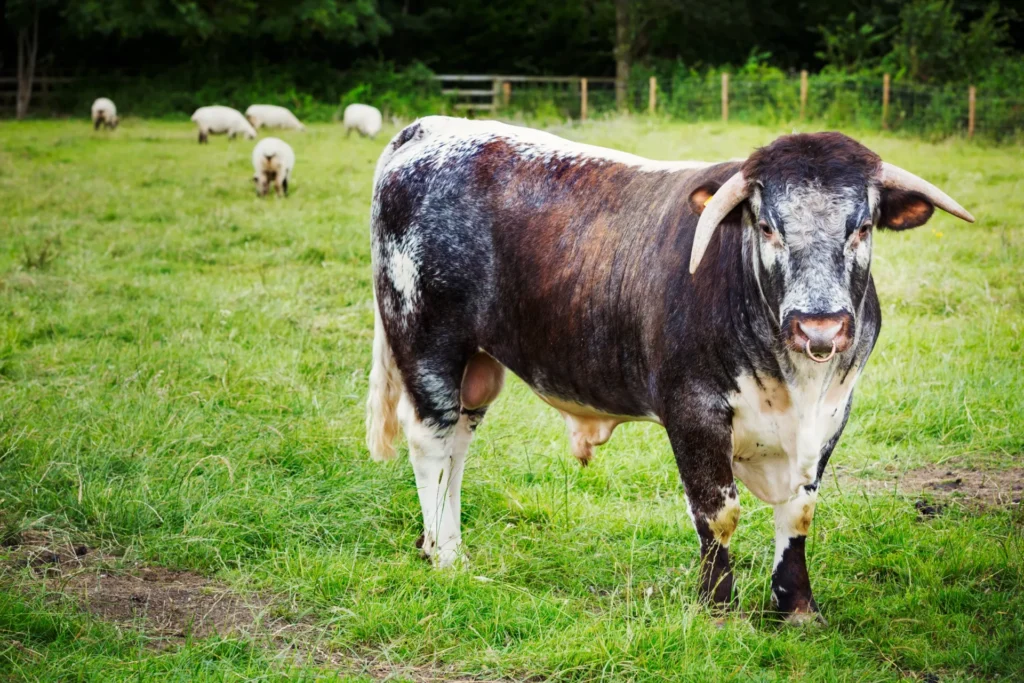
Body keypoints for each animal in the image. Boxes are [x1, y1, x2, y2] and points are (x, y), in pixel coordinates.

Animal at [365, 116, 974, 623]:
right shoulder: (693, 411)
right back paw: (446, 556)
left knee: (458, 445)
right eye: (767, 227)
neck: (794, 381)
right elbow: (718, 514)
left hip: (477, 365)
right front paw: (719, 607)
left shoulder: (831, 414)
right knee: (432, 443)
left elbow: (799, 513)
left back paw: (444, 544)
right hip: (428, 343)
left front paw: (798, 607)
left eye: (863, 227)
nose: (819, 328)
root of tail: (428, 128)